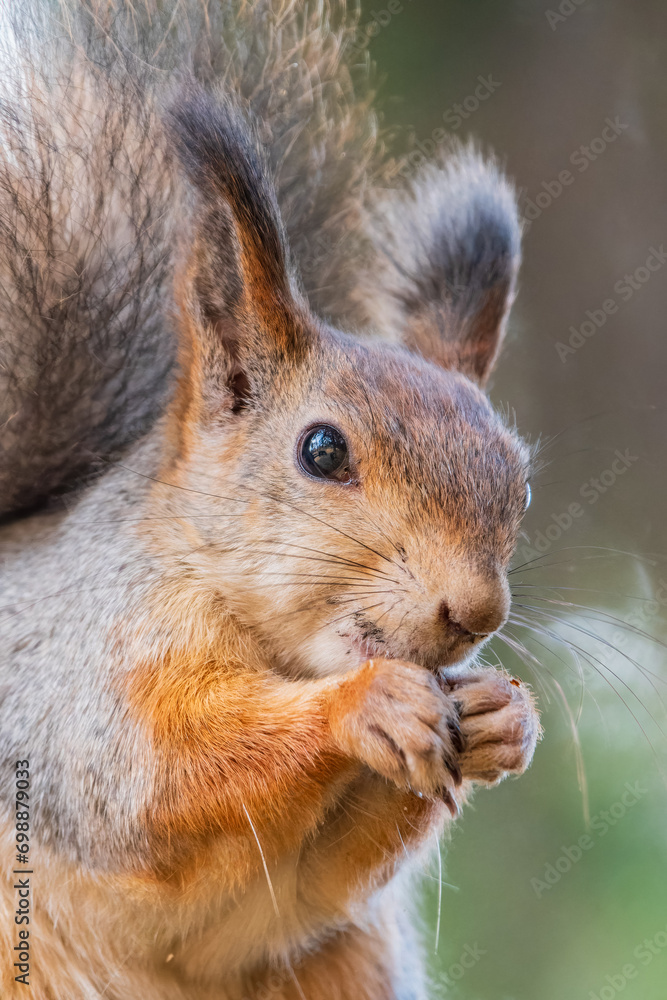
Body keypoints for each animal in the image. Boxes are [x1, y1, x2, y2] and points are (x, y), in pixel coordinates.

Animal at [0, 2, 541, 998]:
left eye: (518, 479)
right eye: (321, 450)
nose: (475, 611)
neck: (283, 654)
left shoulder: (288, 905)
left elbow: (310, 888)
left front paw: (500, 716)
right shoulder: (76, 689)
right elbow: (157, 779)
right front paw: (365, 706)